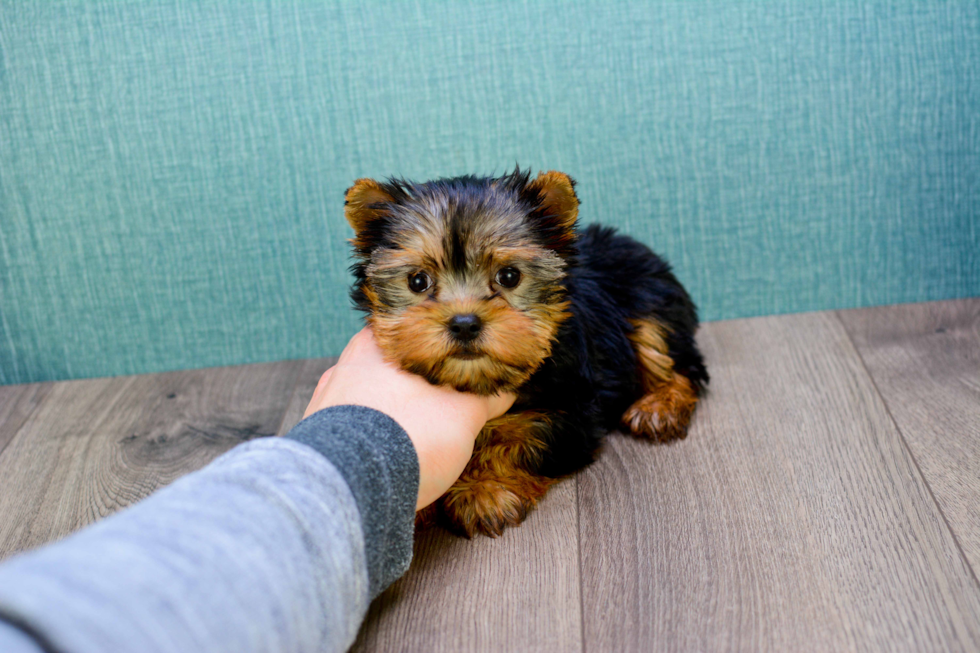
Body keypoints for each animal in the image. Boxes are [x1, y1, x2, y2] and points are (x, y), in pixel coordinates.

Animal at [344, 167, 704, 536]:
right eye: (418, 281)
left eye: (509, 276)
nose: (464, 323)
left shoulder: (572, 411)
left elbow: (522, 440)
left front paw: (484, 489)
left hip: (650, 304)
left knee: (677, 362)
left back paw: (660, 406)